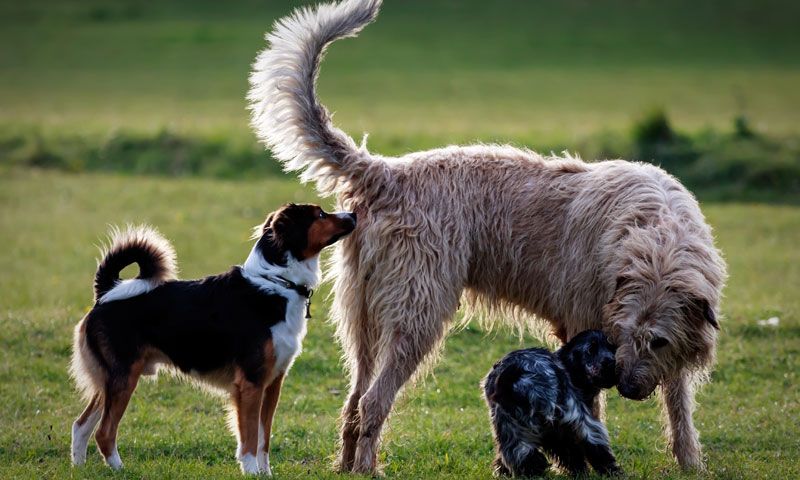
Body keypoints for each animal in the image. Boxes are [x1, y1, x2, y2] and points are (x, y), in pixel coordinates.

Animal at [69, 204, 356, 474]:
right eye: (320, 214)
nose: (353, 214)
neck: (277, 283)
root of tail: (106, 293)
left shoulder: (272, 383)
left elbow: (264, 439)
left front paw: (265, 474)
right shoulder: (250, 383)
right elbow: (250, 438)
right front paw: (251, 472)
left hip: (111, 381)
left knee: (81, 425)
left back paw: (79, 468)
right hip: (124, 379)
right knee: (104, 432)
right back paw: (120, 470)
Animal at [482, 330, 624, 476]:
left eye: (613, 348)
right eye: (590, 350)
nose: (612, 362)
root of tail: (521, 377)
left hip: (509, 425)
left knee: (521, 455)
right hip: (572, 417)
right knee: (592, 446)